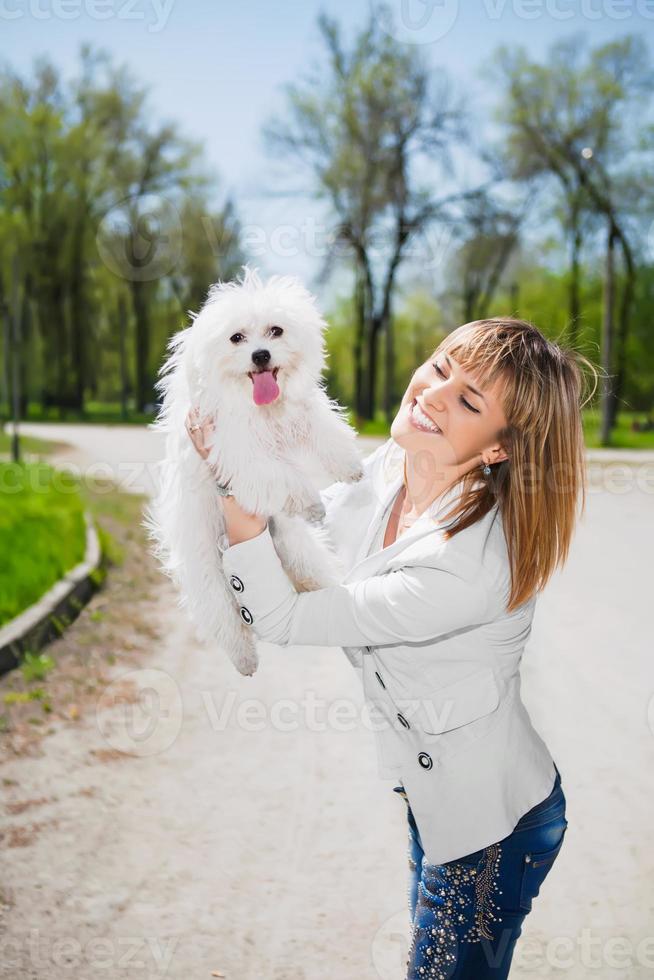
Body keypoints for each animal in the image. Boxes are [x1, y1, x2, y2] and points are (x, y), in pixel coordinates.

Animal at [144, 272, 366, 676]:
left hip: (302, 556)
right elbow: (280, 474)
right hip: (209, 576)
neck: (259, 407)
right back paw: (245, 658)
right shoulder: (239, 452)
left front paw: (349, 465)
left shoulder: (301, 414)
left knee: (325, 597)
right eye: (236, 338)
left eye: (276, 330)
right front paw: (310, 502)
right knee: (224, 619)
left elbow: (325, 431)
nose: (260, 355)